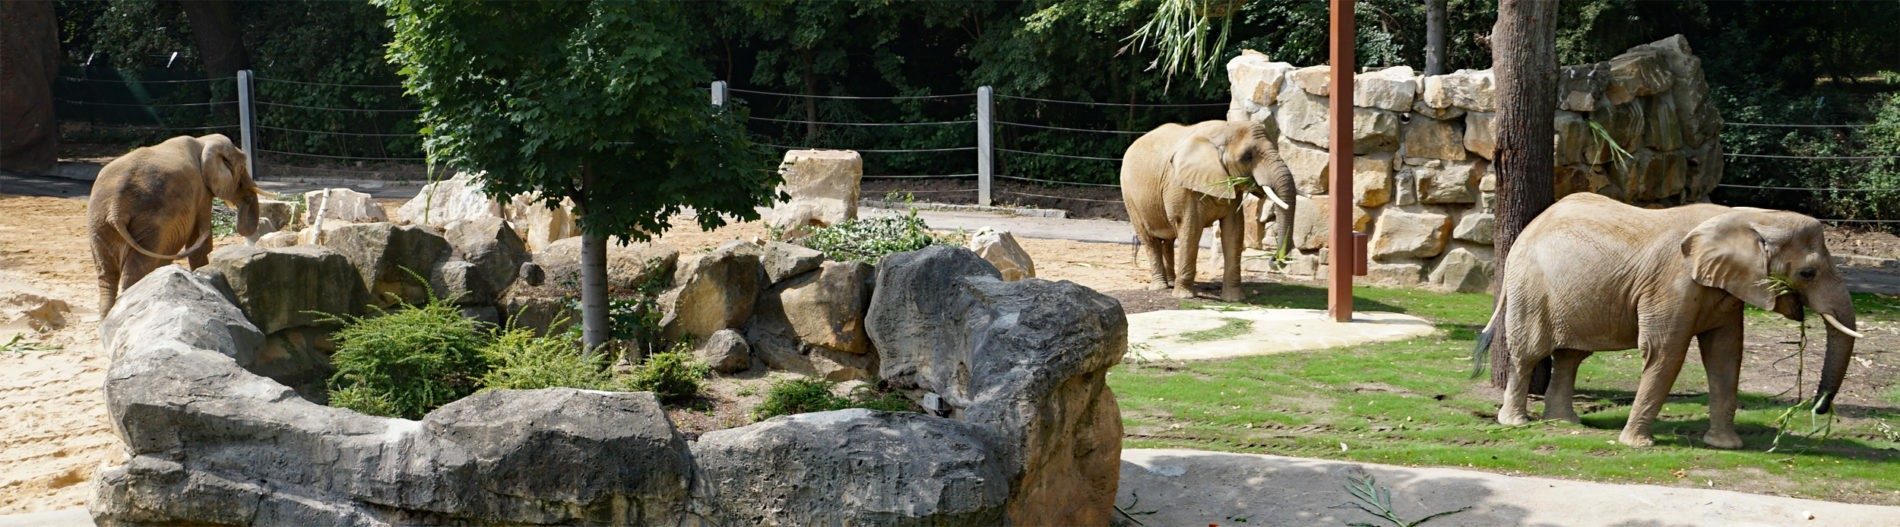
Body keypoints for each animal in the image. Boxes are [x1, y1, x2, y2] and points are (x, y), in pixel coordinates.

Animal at [85, 133, 258, 312]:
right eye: (243, 165)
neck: (203, 141)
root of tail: (116, 209)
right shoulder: (201, 193)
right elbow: (201, 240)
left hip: (99, 223)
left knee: (106, 274)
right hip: (148, 223)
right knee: (136, 268)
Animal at [1117, 119, 1299, 298]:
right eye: (1247, 156)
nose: (1275, 259)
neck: (1223, 130)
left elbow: (1234, 231)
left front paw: (1235, 299)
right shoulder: (1182, 187)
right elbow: (1191, 229)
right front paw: (1184, 296)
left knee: (1169, 239)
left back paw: (1171, 282)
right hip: (1130, 196)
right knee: (1149, 239)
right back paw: (1160, 287)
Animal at [1474, 193, 1862, 447]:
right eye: (1808, 273)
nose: (1818, 408)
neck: (1751, 217)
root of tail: (1526, 230)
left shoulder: (1726, 290)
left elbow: (1725, 355)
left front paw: (1726, 445)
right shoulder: (1672, 284)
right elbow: (1666, 353)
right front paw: (1636, 445)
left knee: (1570, 355)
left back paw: (1566, 422)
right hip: (1530, 286)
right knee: (1530, 352)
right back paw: (1516, 423)